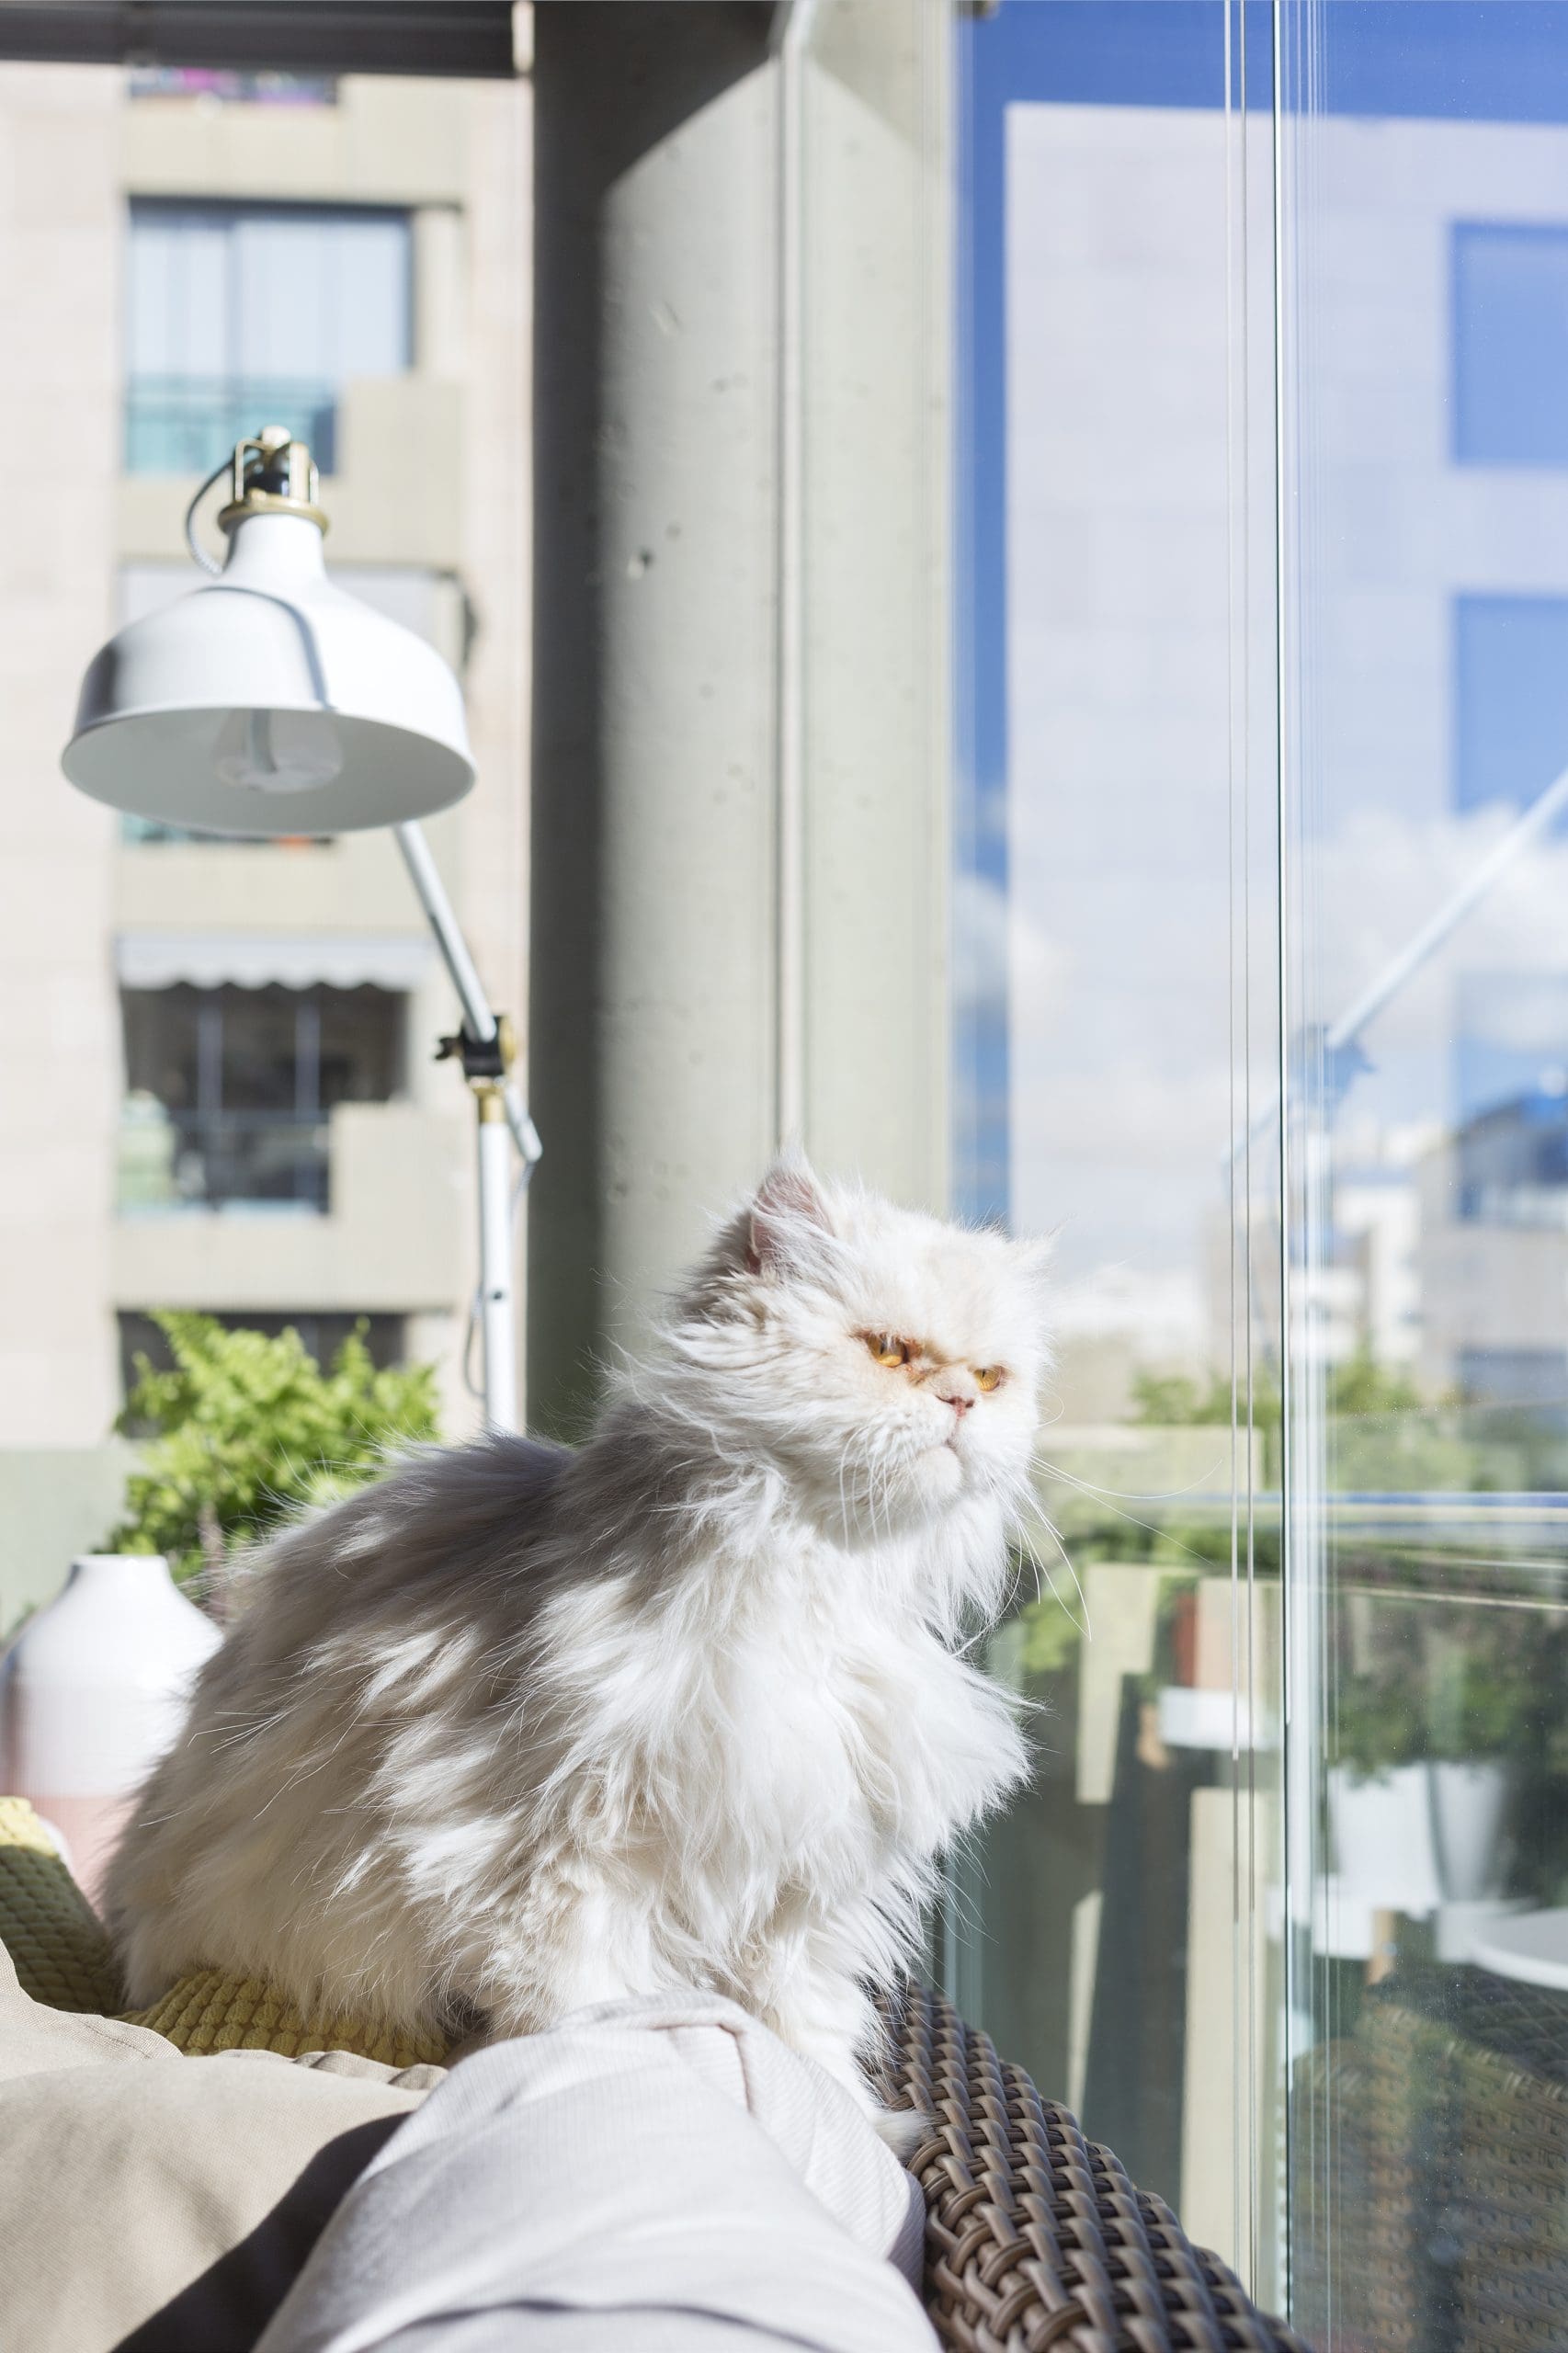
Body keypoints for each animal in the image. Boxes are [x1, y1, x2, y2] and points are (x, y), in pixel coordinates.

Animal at [103, 1157, 1045, 2118]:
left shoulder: (803, 1886)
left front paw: (840, 2124)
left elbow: (806, 2034)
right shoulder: (559, 1864)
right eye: (888, 1351)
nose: (961, 1400)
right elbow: (585, 2016)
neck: (821, 1575)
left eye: (993, 1377)